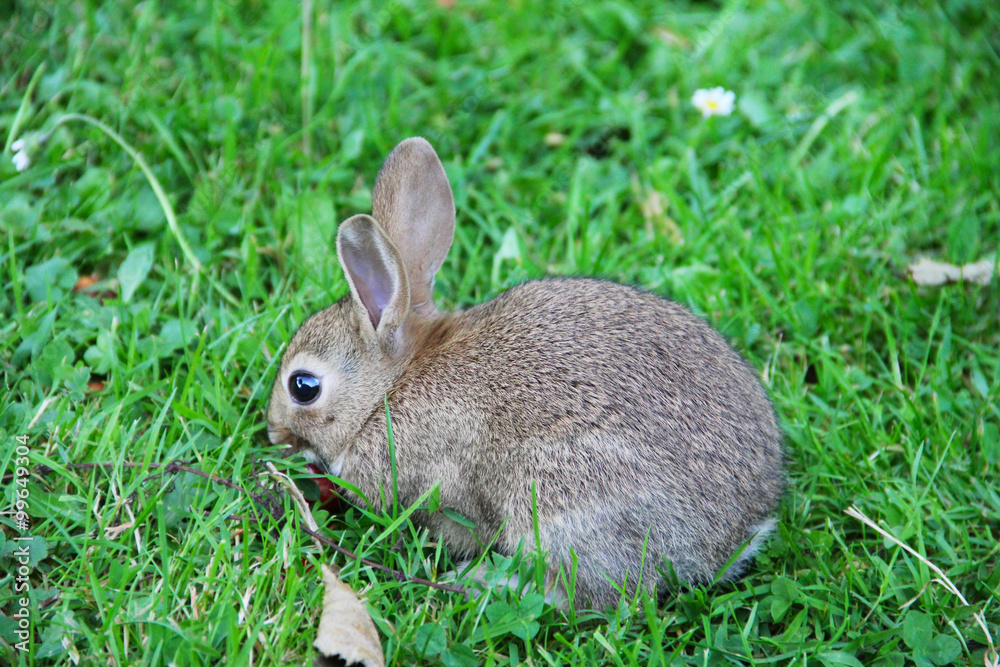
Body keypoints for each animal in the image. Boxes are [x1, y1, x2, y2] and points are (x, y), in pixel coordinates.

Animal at [267, 137, 785, 610]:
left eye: (303, 387)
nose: (273, 433)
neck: (389, 390)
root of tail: (739, 532)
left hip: (559, 502)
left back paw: (483, 582)